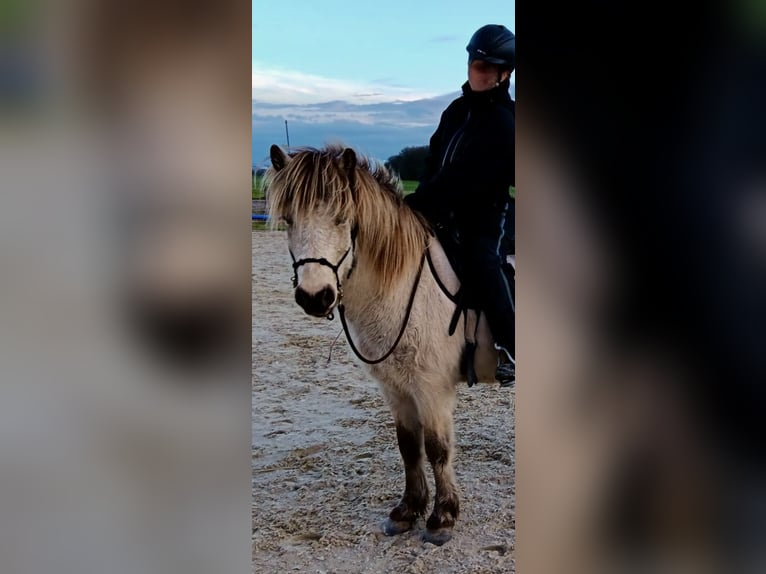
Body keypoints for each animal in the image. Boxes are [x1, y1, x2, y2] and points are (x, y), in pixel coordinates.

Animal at [265, 142, 509, 545]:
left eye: (342, 218)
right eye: (288, 219)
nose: (315, 297)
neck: (404, 282)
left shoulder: (431, 387)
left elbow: (438, 449)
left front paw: (443, 517)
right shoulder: (395, 388)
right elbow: (408, 447)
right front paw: (408, 510)